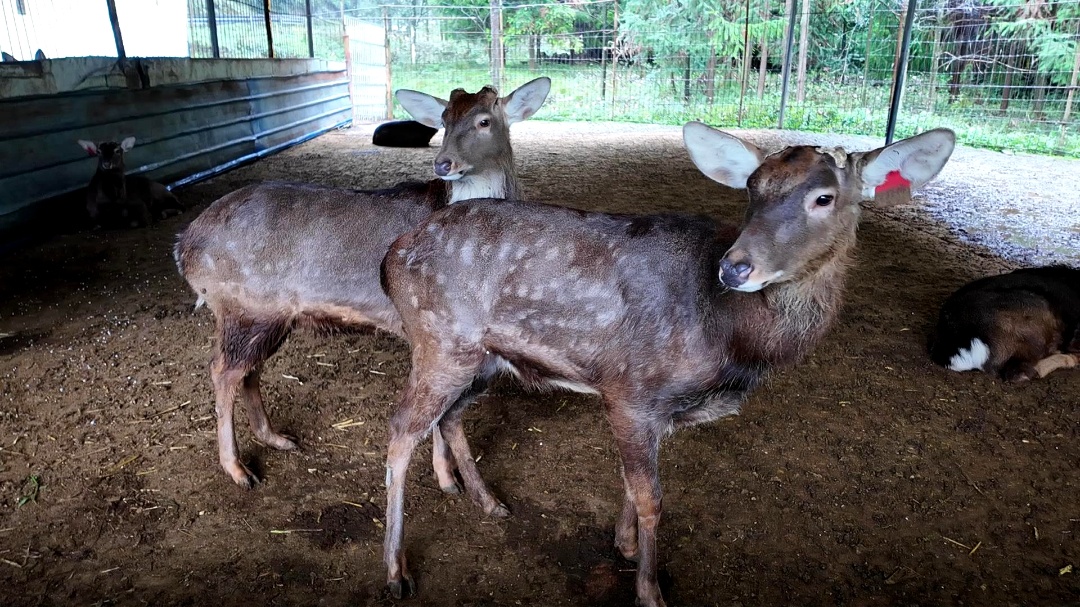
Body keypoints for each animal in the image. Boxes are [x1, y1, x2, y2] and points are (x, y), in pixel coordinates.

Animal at [176, 75, 552, 483]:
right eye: (444, 120)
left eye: (485, 120)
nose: (443, 163)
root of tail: (185, 245)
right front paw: (446, 476)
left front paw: (447, 473)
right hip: (243, 306)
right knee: (222, 370)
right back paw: (238, 468)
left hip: (271, 316)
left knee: (248, 370)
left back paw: (275, 438)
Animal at [378, 120, 954, 600]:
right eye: (752, 189)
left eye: (825, 197)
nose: (734, 267)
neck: (734, 339)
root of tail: (392, 256)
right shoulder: (632, 390)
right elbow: (652, 498)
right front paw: (649, 589)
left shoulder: (653, 409)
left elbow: (633, 486)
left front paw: (625, 545)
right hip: (440, 339)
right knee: (400, 430)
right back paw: (396, 572)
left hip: (484, 360)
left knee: (448, 417)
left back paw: (487, 501)